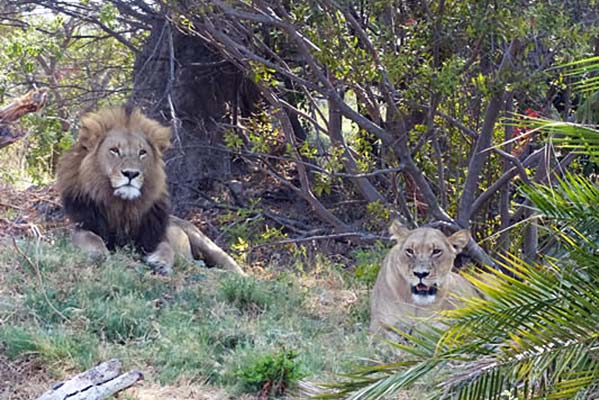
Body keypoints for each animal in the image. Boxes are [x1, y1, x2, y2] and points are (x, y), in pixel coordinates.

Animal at [55, 106, 244, 276]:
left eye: (142, 152)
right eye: (114, 150)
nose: (131, 173)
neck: (123, 207)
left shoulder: (154, 237)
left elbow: (166, 248)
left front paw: (160, 263)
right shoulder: (81, 227)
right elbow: (90, 238)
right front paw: (98, 254)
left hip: (206, 243)